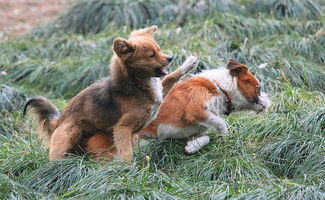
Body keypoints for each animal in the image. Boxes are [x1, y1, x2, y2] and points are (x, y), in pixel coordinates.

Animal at [24, 25, 196, 162]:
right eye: (151, 55)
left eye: (159, 49)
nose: (170, 58)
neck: (137, 85)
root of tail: (59, 120)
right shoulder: (122, 128)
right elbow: (126, 154)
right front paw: (127, 172)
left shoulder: (159, 94)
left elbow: (171, 76)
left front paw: (189, 63)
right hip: (71, 133)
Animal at [138, 58, 270, 154]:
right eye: (258, 88)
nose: (269, 102)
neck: (221, 87)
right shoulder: (195, 111)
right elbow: (221, 122)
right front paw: (226, 138)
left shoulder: (188, 134)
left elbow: (207, 138)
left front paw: (193, 146)